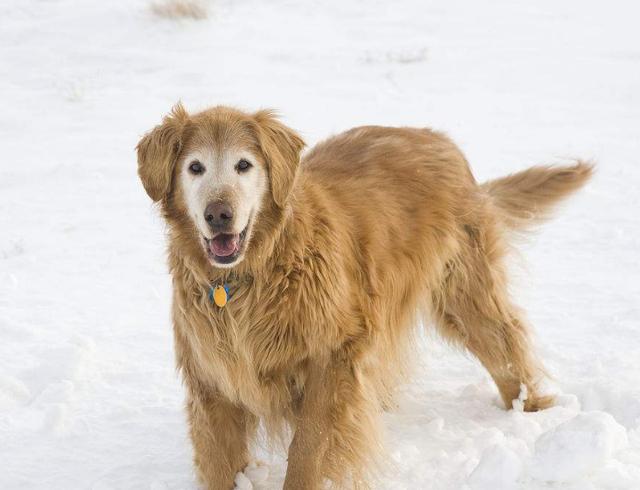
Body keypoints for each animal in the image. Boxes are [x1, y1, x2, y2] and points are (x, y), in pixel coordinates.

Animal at [138, 102, 592, 486]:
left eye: (243, 165)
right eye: (195, 167)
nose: (219, 214)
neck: (251, 275)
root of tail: (439, 139)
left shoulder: (334, 358)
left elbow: (307, 450)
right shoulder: (212, 378)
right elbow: (220, 465)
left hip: (465, 293)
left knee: (508, 349)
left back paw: (531, 417)